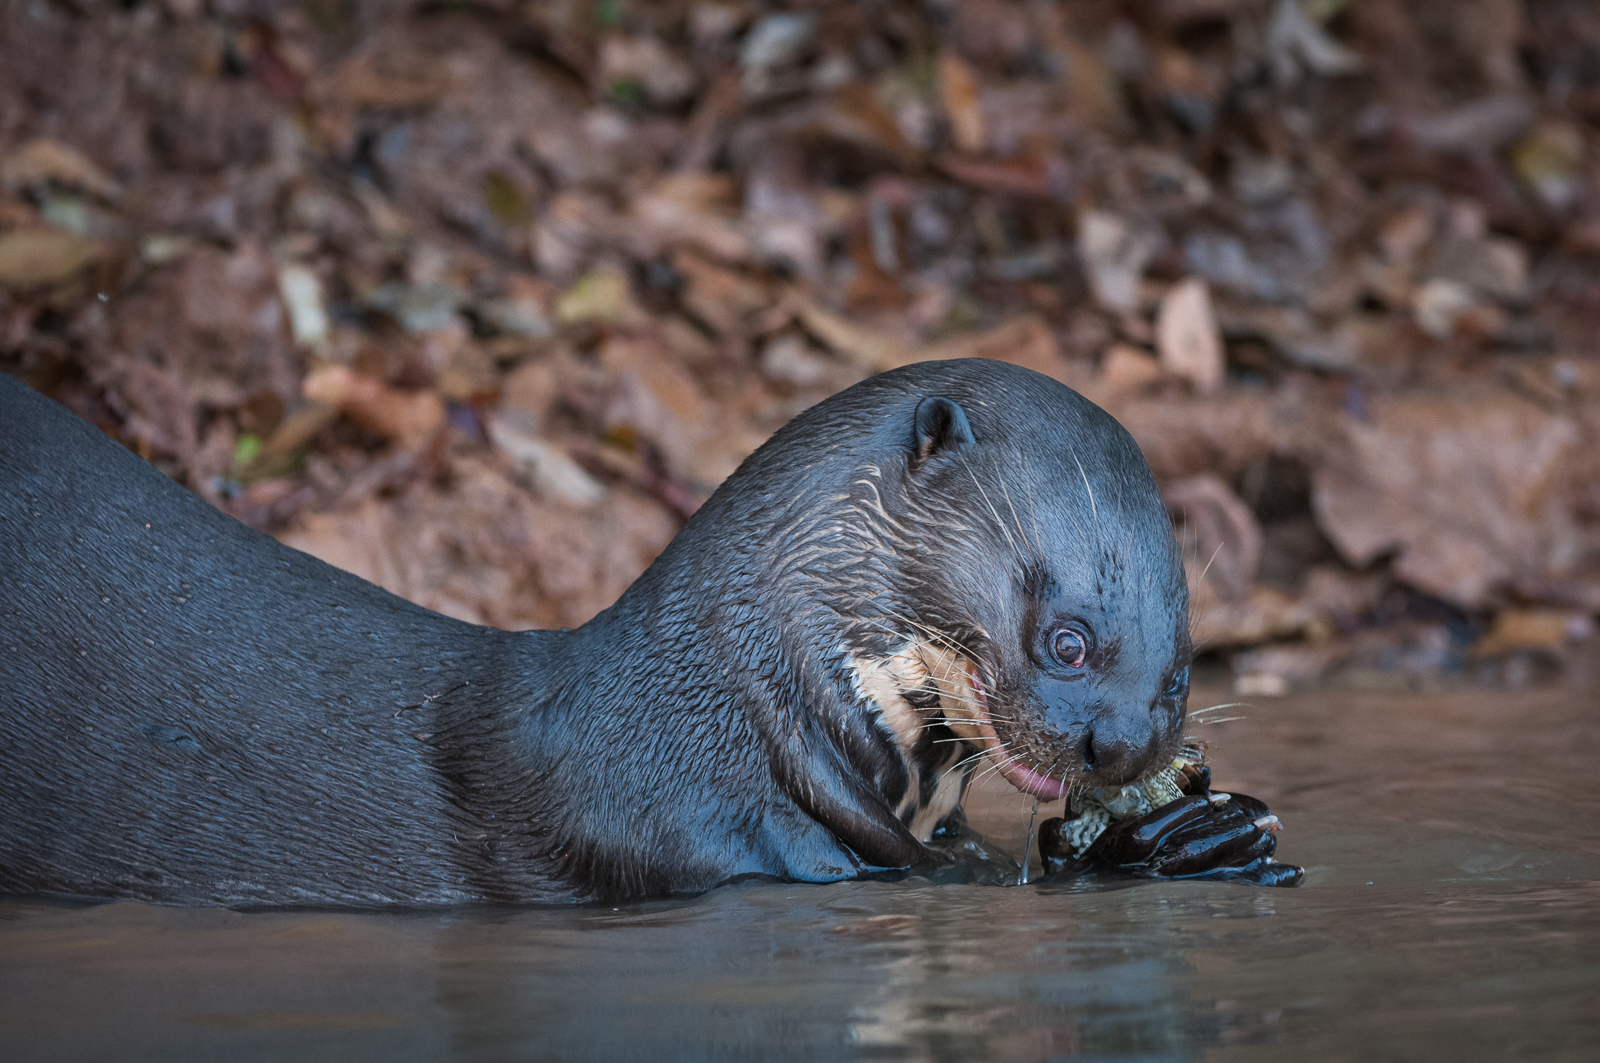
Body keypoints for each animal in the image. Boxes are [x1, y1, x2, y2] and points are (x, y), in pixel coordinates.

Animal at [0, 358, 1292, 902]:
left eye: (1181, 671)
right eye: (1065, 636)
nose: (1122, 744)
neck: (720, 723)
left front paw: (1197, 826)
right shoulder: (699, 839)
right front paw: (1172, 841)